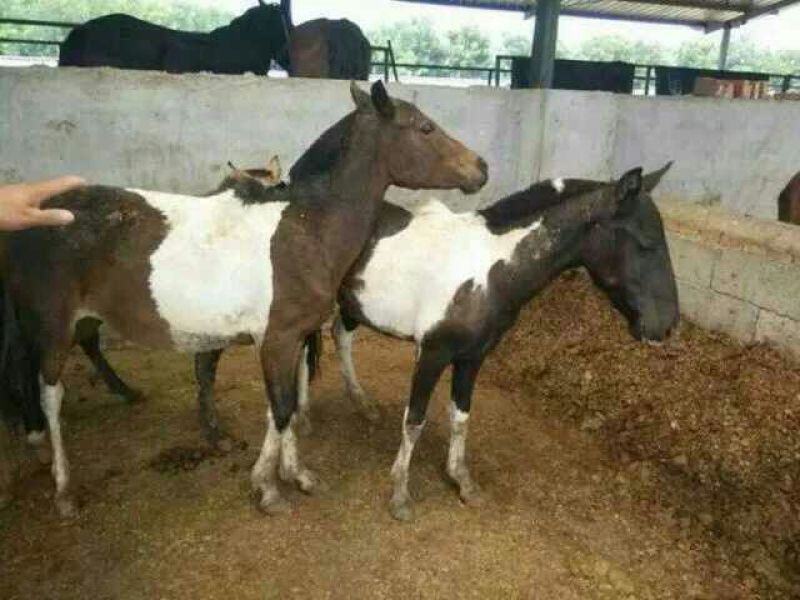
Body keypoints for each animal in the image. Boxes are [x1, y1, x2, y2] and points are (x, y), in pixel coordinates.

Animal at [0, 80, 488, 517]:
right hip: (52, 325)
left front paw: (298, 475)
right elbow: (282, 407)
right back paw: (63, 487)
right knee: (49, 394)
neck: (306, 227)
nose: (481, 167)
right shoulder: (276, 339)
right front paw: (269, 490)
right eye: (425, 127)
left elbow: (285, 406)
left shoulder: (293, 339)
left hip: (72, 321)